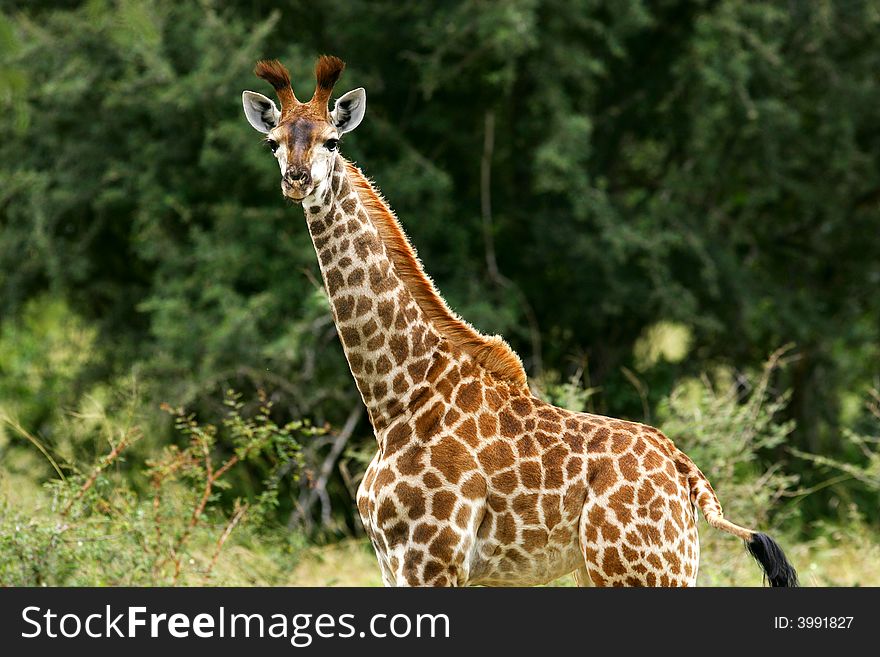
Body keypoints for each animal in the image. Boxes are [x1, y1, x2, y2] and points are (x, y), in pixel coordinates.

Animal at [241, 56, 796, 588]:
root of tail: (688, 476)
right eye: (272, 143)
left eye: (332, 140)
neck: (397, 399)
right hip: (623, 569)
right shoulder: (393, 564)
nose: (297, 179)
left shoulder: (431, 559)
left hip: (642, 569)